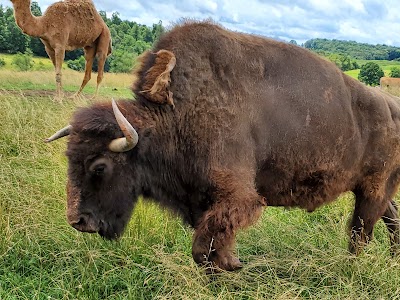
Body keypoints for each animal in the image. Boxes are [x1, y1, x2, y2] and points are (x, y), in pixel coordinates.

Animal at [47, 20, 400, 270]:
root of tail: (391, 107)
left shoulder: (237, 198)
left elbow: (205, 248)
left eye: (100, 166)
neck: (177, 114)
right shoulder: (203, 201)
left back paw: (350, 268)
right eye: (70, 159)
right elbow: (205, 250)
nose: (78, 221)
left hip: (372, 188)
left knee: (360, 233)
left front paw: (233, 265)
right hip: (372, 189)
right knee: (387, 220)